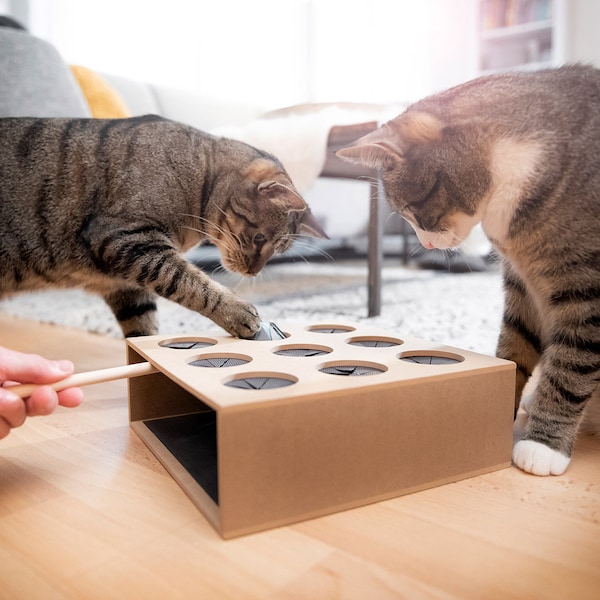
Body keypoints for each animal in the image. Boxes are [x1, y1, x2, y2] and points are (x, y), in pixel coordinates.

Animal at [0, 115, 326, 340]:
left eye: (278, 250)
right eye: (259, 238)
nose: (254, 272)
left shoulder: (125, 286)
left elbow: (143, 333)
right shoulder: (126, 239)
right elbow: (190, 282)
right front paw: (237, 311)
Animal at [338, 65, 600, 476]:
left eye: (412, 209)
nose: (427, 246)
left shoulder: (586, 290)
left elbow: (572, 364)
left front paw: (543, 446)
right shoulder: (522, 284)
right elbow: (514, 346)